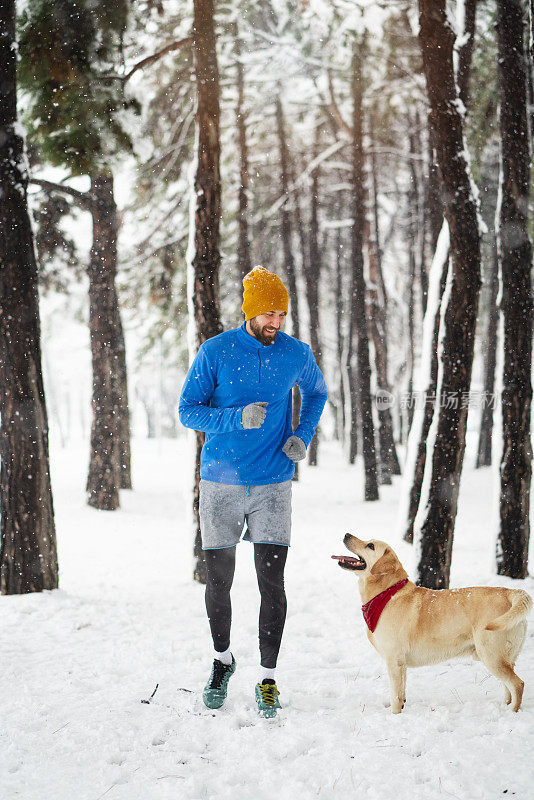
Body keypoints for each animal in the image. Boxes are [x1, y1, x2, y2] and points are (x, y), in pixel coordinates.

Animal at [332, 536, 532, 712]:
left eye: (370, 546)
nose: (347, 534)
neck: (387, 593)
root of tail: (511, 592)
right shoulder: (401, 663)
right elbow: (402, 692)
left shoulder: (394, 660)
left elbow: (395, 695)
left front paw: (395, 715)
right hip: (505, 658)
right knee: (508, 687)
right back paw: (504, 706)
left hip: (492, 656)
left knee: (518, 684)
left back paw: (512, 712)